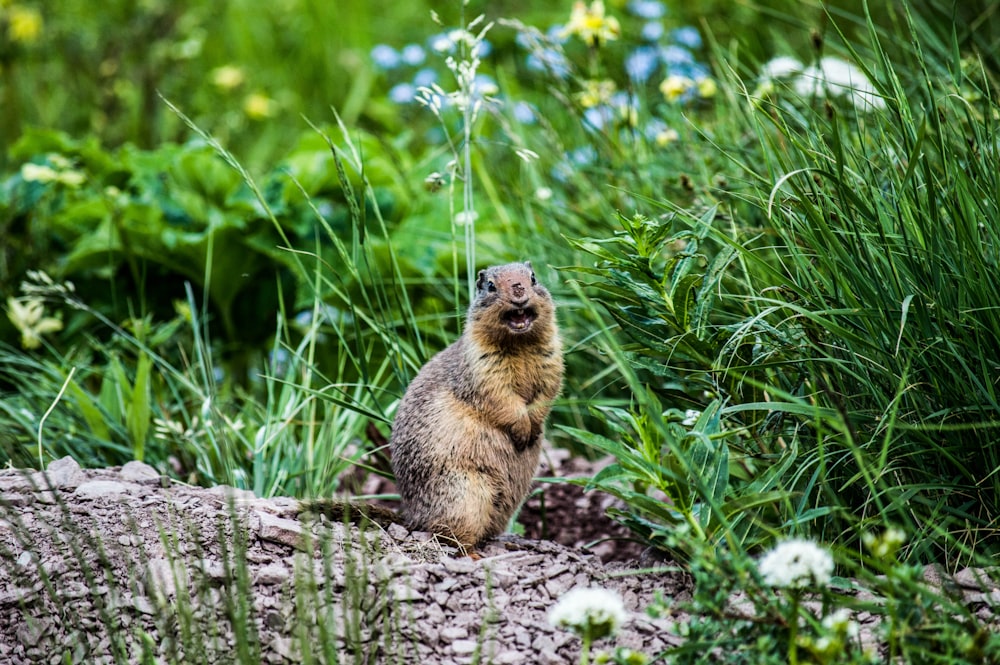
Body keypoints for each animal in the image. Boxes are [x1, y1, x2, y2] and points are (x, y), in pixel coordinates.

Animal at [388, 260, 564, 548]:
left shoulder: (552, 359)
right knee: (447, 534)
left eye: (533, 278)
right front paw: (522, 430)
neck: (520, 344)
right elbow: (501, 398)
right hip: (465, 494)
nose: (519, 291)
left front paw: (535, 428)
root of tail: (412, 516)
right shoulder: (482, 366)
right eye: (490, 285)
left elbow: (547, 393)